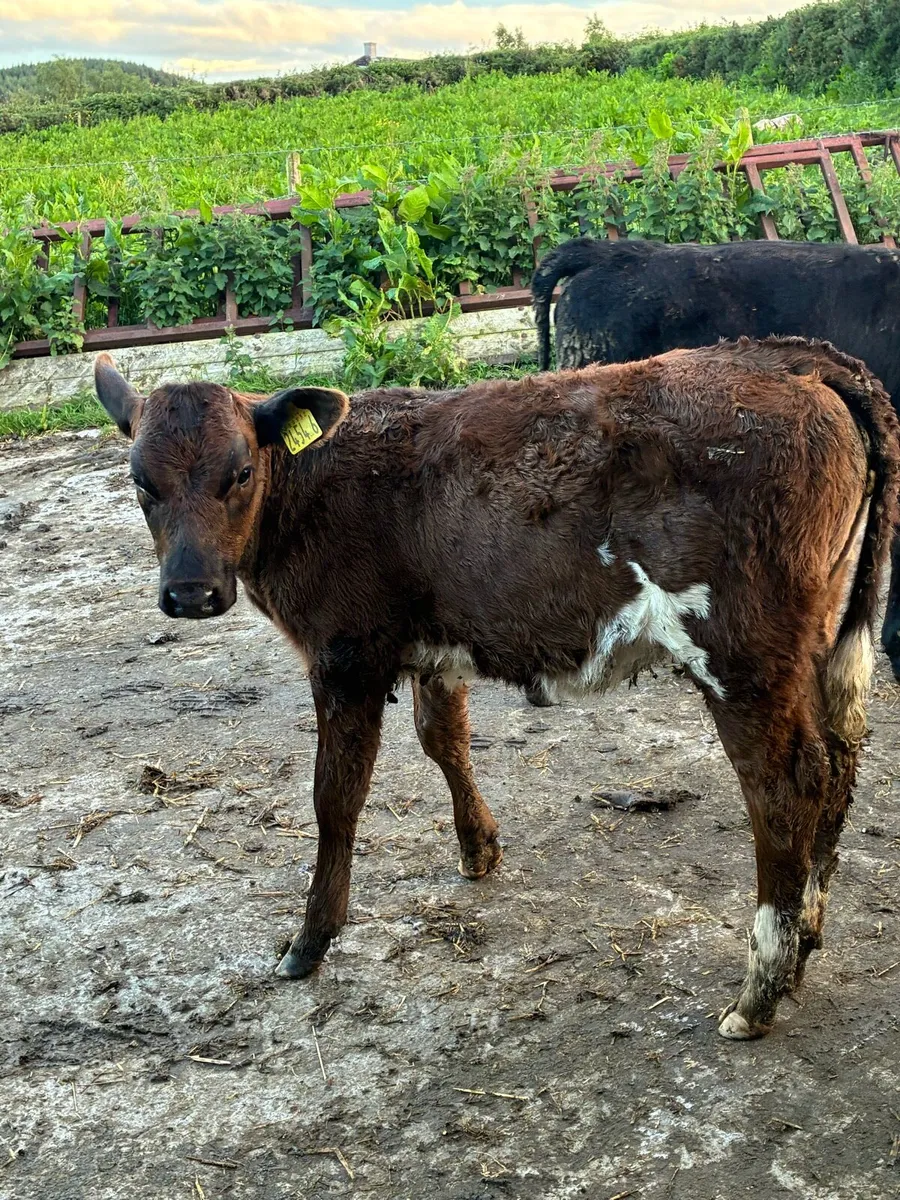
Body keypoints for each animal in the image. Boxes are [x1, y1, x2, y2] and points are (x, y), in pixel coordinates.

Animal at [93, 337, 898, 1040]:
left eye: (237, 474)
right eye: (141, 482)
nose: (190, 593)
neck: (312, 485)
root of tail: (792, 358)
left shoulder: (346, 655)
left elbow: (336, 796)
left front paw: (311, 939)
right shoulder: (434, 648)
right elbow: (443, 739)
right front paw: (479, 849)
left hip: (740, 655)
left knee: (786, 783)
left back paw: (759, 991)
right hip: (817, 639)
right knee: (839, 760)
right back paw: (804, 941)